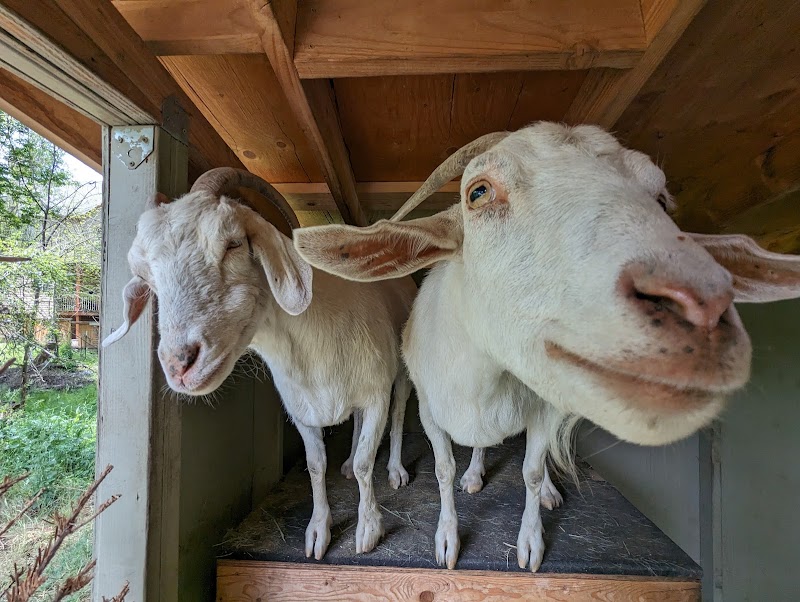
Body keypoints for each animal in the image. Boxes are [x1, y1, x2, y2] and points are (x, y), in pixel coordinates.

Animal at [102, 168, 416, 559]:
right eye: (144, 276)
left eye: (233, 243)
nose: (179, 365)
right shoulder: (301, 410)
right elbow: (317, 466)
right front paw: (318, 531)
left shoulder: (375, 396)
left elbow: (364, 464)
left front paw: (369, 530)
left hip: (399, 376)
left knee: (400, 414)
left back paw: (395, 470)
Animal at [293, 122, 800, 571]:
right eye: (478, 193)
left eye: (660, 200)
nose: (703, 304)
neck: (479, 384)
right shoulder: (430, 411)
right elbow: (443, 470)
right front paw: (447, 539)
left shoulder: (544, 409)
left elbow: (532, 472)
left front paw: (531, 543)